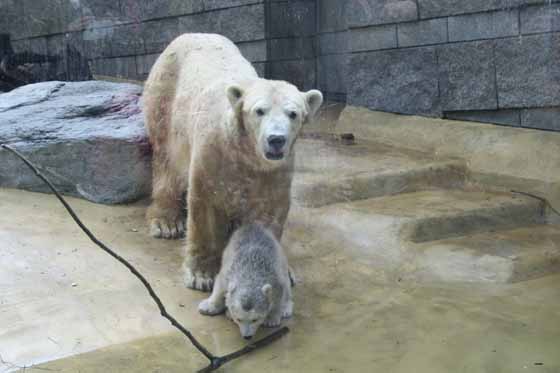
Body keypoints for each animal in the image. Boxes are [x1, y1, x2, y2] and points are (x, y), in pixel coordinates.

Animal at [143, 34, 324, 290]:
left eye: (293, 113)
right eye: (259, 111)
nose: (276, 140)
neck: (244, 152)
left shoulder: (274, 171)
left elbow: (269, 212)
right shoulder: (212, 154)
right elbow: (205, 205)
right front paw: (201, 275)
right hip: (165, 101)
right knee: (166, 161)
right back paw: (166, 222)